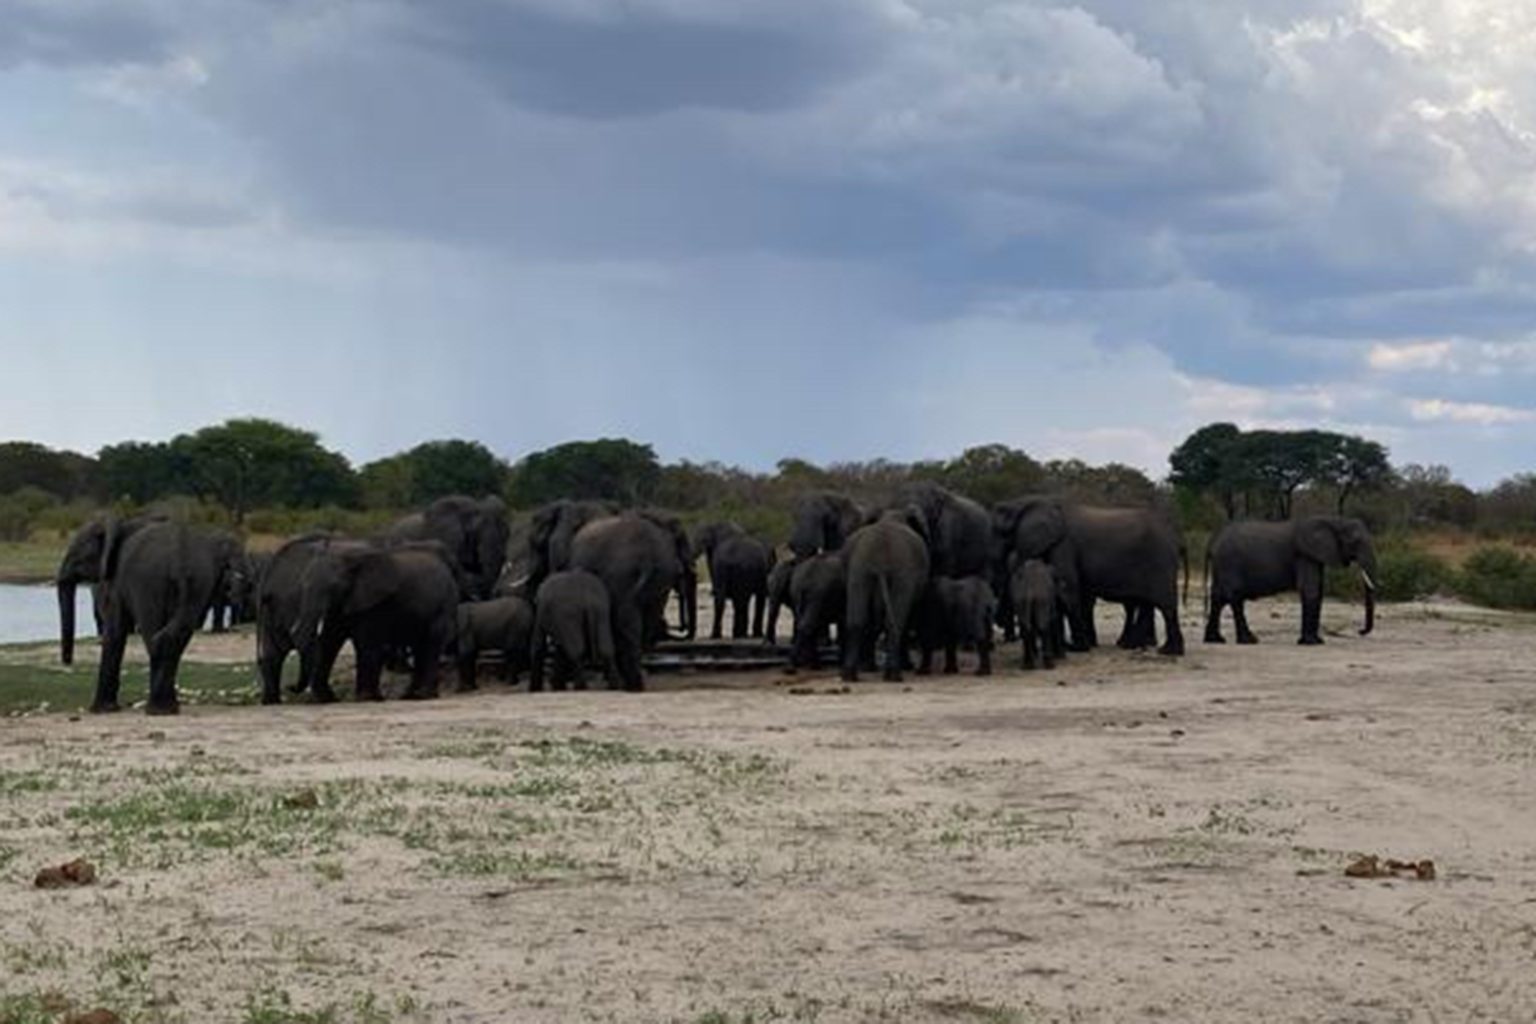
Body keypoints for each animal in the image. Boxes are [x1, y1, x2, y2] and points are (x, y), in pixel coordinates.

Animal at [91, 525, 241, 718]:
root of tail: (180, 561)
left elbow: (115, 631)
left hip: (148, 585)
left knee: (153, 631)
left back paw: (157, 709)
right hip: (194, 584)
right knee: (175, 637)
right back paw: (166, 708)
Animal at [293, 543, 457, 706]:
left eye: (333, 586)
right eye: (303, 584)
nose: (291, 688)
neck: (350, 558)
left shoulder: (375, 604)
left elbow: (366, 643)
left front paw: (365, 698)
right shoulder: (342, 604)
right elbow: (330, 641)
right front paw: (328, 699)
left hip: (443, 606)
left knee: (430, 644)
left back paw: (422, 695)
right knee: (419, 648)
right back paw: (410, 696)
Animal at [989, 497, 1179, 657]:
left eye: (997, 531)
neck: (1025, 502)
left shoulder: (1064, 545)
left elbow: (1068, 590)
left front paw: (1078, 647)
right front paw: (1079, 645)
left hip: (1159, 560)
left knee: (1164, 604)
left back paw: (1165, 650)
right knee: (1151, 603)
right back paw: (1142, 646)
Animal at [1210, 515, 1382, 644]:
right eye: (1355, 541)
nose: (1360, 631)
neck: (1334, 521)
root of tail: (1216, 540)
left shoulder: (1315, 555)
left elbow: (1318, 591)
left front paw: (1315, 641)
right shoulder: (1304, 554)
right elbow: (1311, 591)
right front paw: (1312, 643)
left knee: (1219, 598)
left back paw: (1216, 640)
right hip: (1230, 563)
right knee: (1234, 597)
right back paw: (1248, 640)